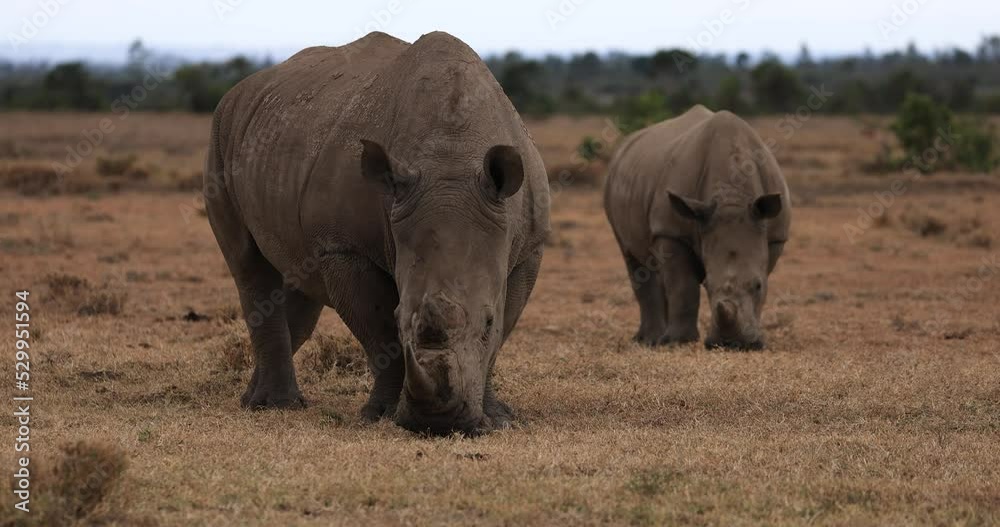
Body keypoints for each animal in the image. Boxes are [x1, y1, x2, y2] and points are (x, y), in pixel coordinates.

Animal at [203, 31, 550, 435]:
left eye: (487, 322)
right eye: (402, 319)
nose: (439, 424)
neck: (451, 155)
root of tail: (241, 90)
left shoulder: (528, 248)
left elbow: (503, 332)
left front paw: (498, 418)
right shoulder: (345, 246)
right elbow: (380, 333)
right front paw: (382, 414)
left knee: (298, 281)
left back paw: (256, 400)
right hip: (220, 133)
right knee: (249, 266)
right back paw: (275, 405)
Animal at [604, 105, 790, 350]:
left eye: (758, 286)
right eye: (708, 286)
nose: (731, 344)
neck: (733, 195)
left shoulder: (775, 236)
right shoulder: (671, 231)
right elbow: (683, 286)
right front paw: (678, 341)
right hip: (613, 189)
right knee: (634, 259)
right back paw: (650, 340)